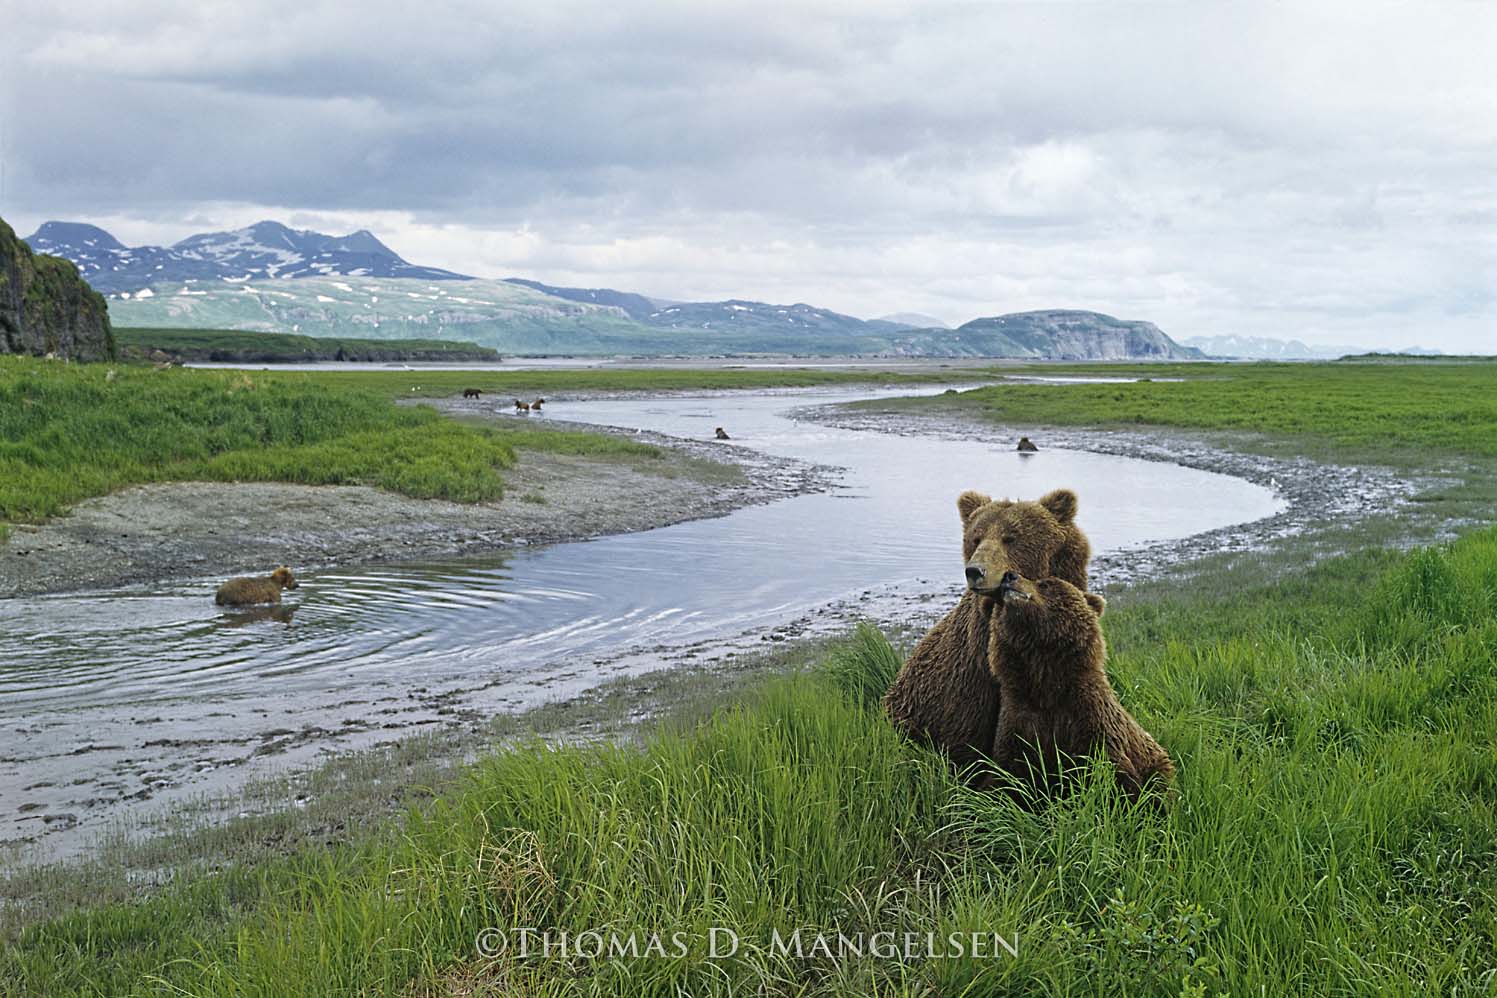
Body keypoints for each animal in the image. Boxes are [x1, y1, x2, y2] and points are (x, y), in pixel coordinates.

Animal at [988, 574, 1173, 801]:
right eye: (999, 601)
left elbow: (1111, 771)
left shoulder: (1089, 717)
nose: (1009, 576)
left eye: (1045, 584)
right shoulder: (1020, 719)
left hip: (1157, 764)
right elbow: (1007, 777)